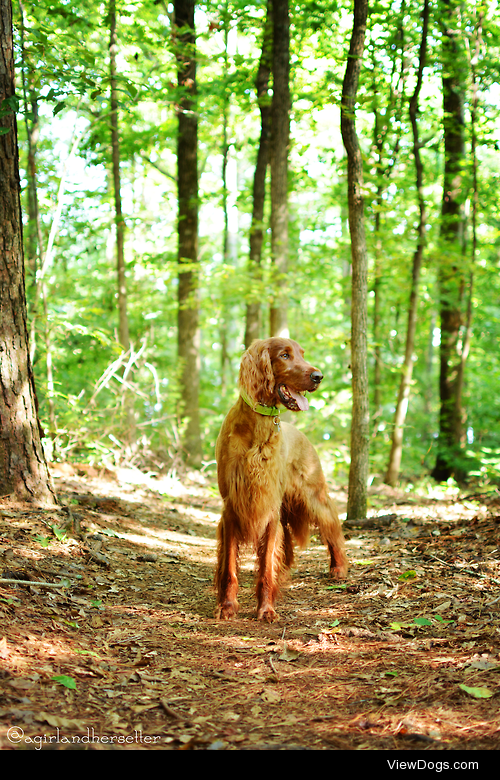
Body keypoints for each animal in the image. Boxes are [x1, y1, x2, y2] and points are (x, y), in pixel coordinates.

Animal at [214, 336, 348, 620]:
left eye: (302, 354)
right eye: (285, 355)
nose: (319, 376)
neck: (259, 424)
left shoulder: (269, 505)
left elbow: (266, 565)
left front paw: (266, 609)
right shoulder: (231, 504)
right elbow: (230, 565)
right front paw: (227, 606)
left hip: (312, 493)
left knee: (331, 525)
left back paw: (339, 567)